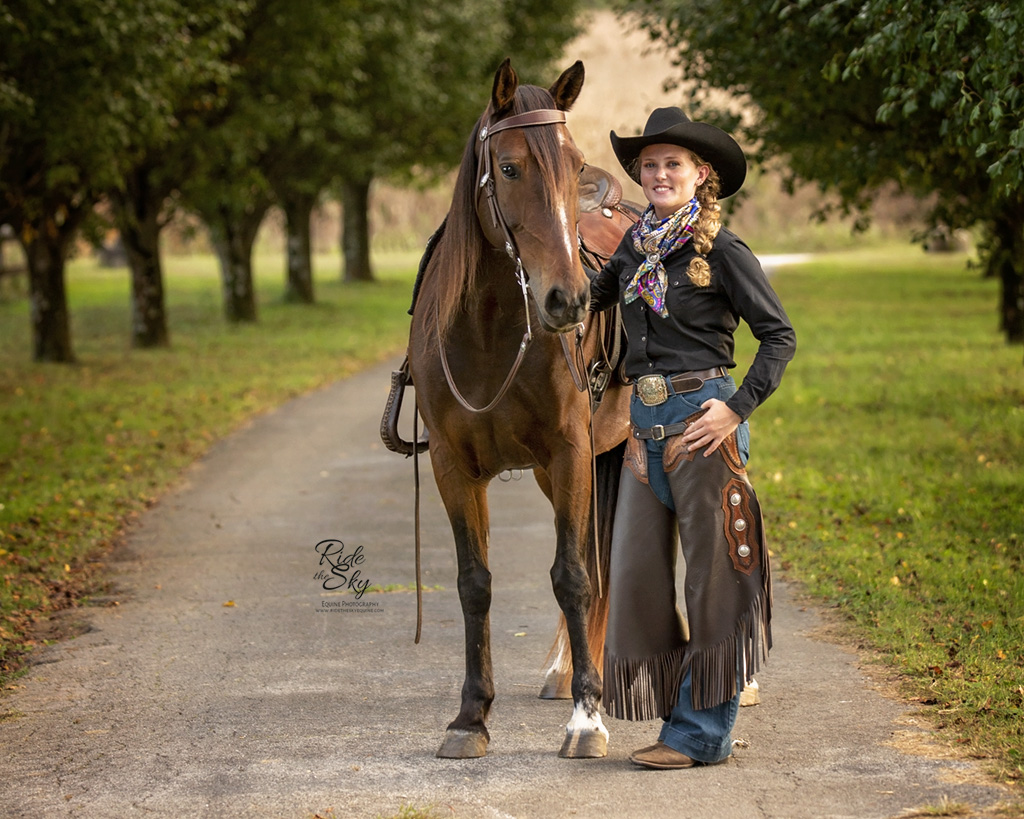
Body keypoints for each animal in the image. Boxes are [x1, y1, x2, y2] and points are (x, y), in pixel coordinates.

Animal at [403, 59, 626, 761]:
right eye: (508, 167)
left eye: (573, 163)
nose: (570, 299)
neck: (489, 329)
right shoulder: (454, 467)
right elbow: (474, 583)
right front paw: (470, 716)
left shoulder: (569, 451)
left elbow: (572, 576)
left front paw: (587, 719)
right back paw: (564, 671)